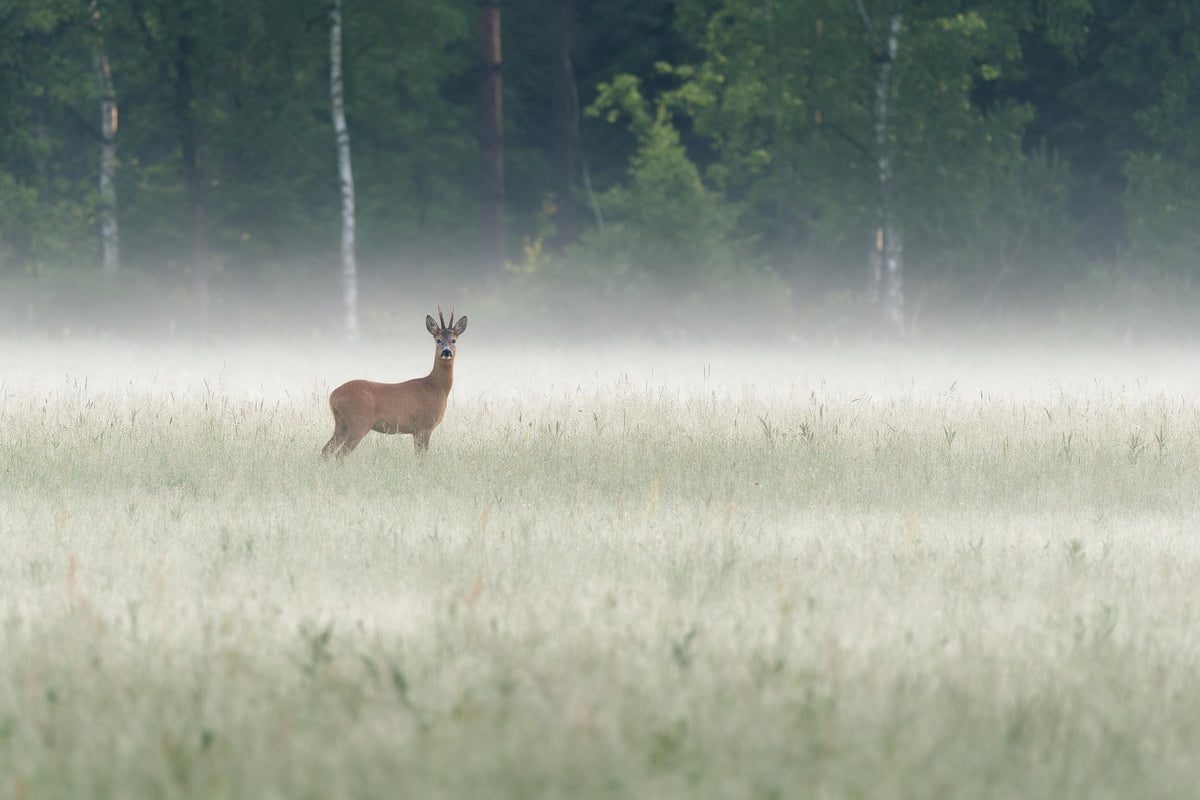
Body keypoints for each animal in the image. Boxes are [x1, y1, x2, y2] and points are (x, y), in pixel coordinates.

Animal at [322, 306, 468, 460]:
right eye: (438, 340)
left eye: (454, 340)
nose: (446, 352)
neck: (435, 387)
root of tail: (333, 396)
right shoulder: (424, 425)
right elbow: (421, 458)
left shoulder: (417, 430)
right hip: (359, 421)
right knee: (340, 454)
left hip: (341, 423)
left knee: (326, 450)